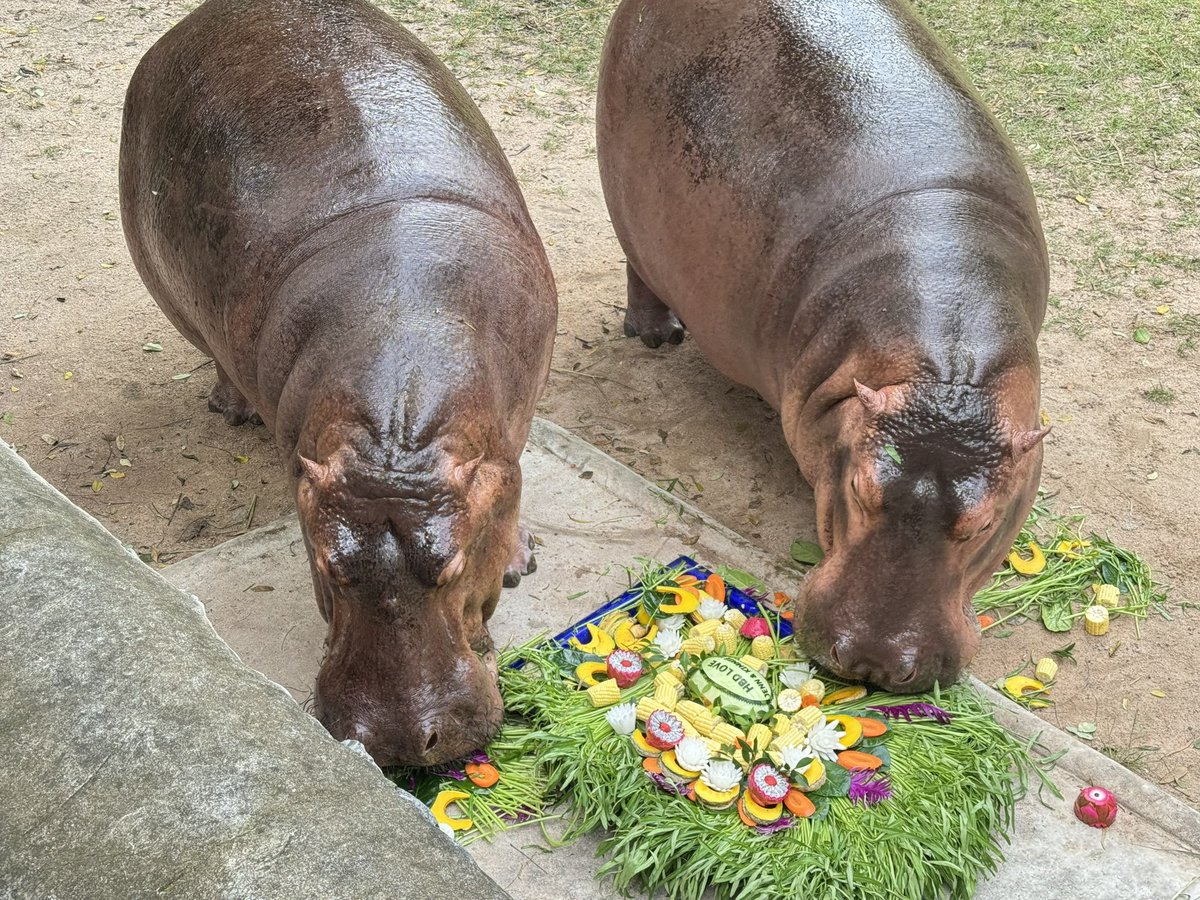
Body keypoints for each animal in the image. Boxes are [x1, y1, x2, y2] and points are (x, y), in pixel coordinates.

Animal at [120, 0, 557, 764]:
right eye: (327, 564)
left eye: (450, 563)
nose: (400, 740)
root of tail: (200, 18)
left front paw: (517, 558)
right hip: (163, 277)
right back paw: (230, 405)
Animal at [597, 0, 1049, 691]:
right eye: (860, 489)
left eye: (985, 523)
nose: (875, 662)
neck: (948, 376)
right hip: (627, 205)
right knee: (637, 268)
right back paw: (657, 335)